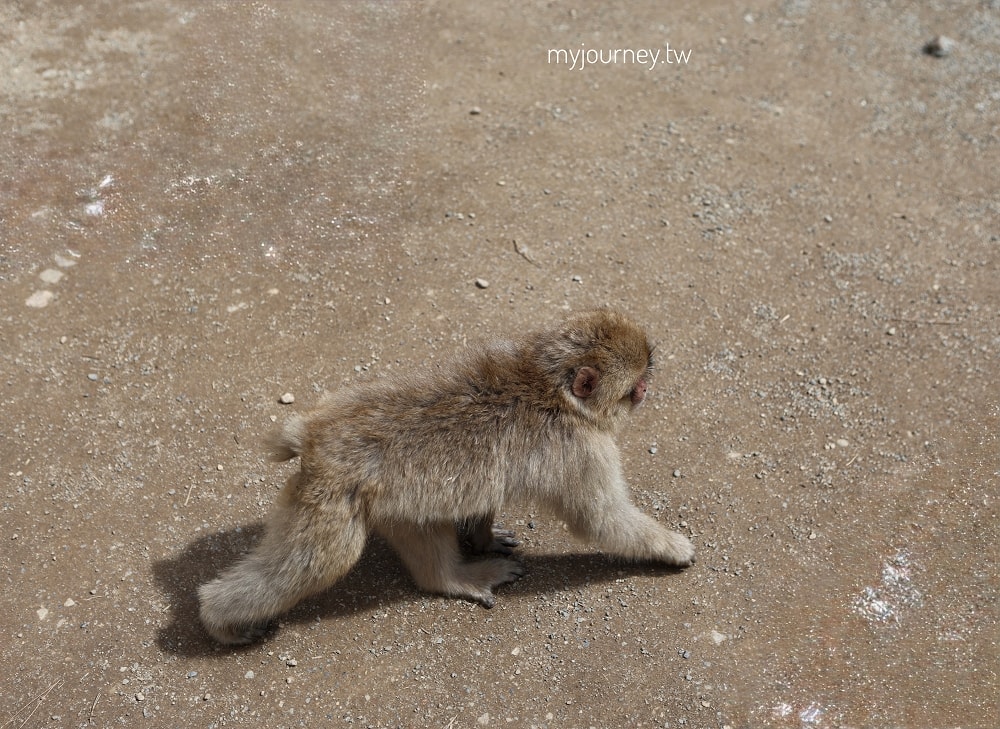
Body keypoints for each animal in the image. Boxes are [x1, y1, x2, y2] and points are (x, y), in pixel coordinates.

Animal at [198, 308, 695, 644]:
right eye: (634, 386)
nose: (647, 389)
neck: (548, 386)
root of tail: (314, 432)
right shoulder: (583, 452)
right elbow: (600, 520)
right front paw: (671, 547)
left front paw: (483, 537)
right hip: (333, 502)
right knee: (319, 562)